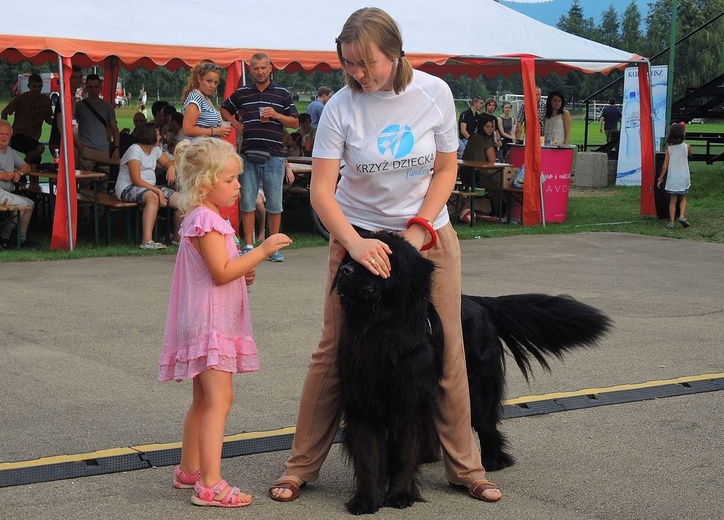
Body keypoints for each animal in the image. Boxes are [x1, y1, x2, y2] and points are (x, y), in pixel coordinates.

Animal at [334, 231, 612, 512]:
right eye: (349, 258)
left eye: (377, 258)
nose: (344, 271)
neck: (380, 328)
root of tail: (480, 301)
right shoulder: (362, 400)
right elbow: (368, 456)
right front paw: (365, 500)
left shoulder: (409, 399)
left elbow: (403, 453)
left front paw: (400, 495)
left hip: (477, 389)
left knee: (487, 426)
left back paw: (493, 461)